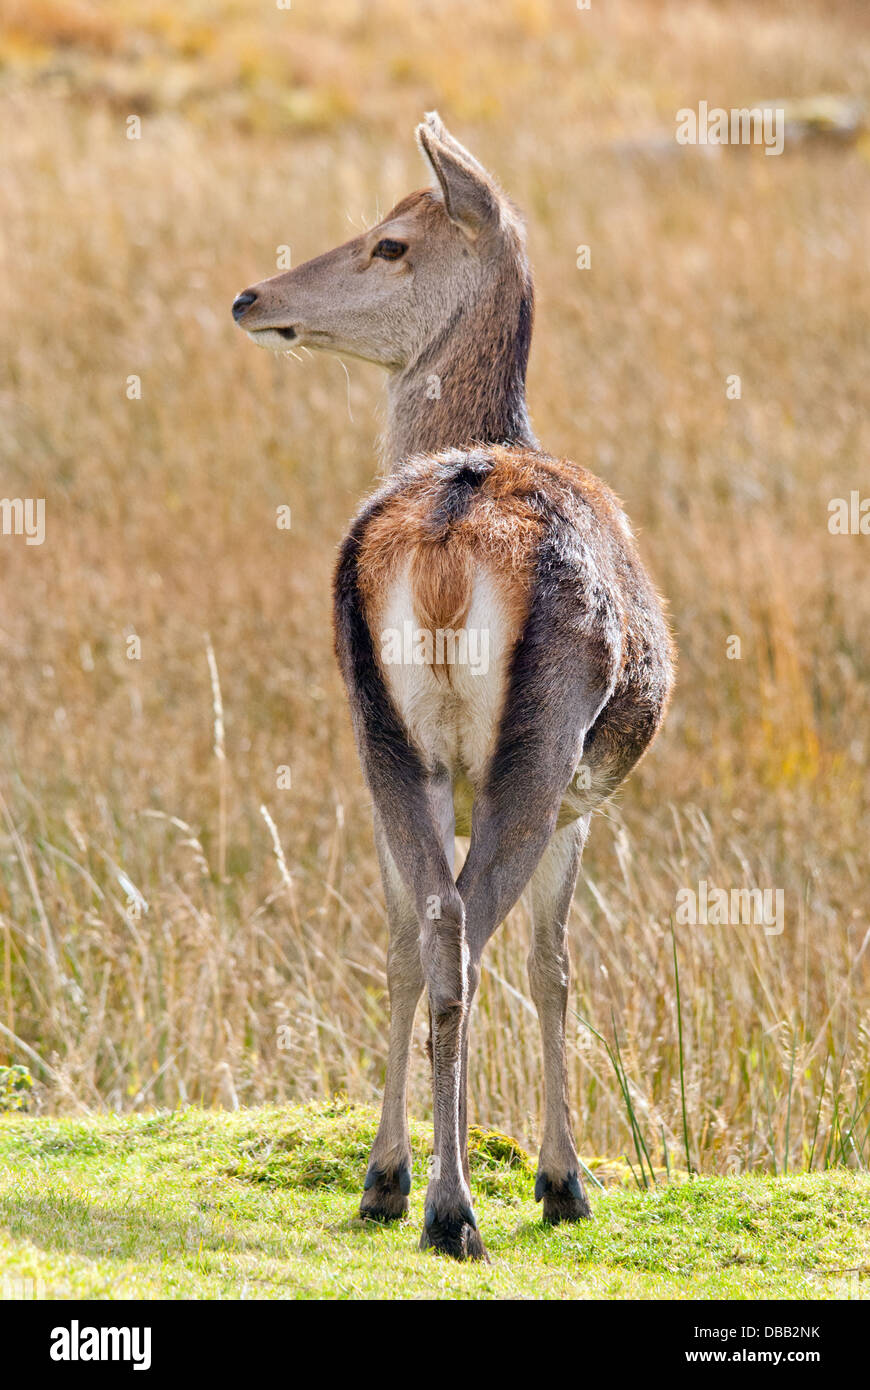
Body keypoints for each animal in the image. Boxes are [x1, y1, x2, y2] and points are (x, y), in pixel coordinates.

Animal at [232, 113, 674, 1261]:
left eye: (390, 242)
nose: (250, 295)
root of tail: (442, 531)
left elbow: (399, 944)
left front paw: (394, 1165)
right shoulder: (583, 801)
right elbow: (556, 968)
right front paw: (561, 1179)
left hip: (383, 735)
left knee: (429, 933)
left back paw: (396, 1183)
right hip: (540, 745)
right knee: (470, 943)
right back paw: (455, 1207)